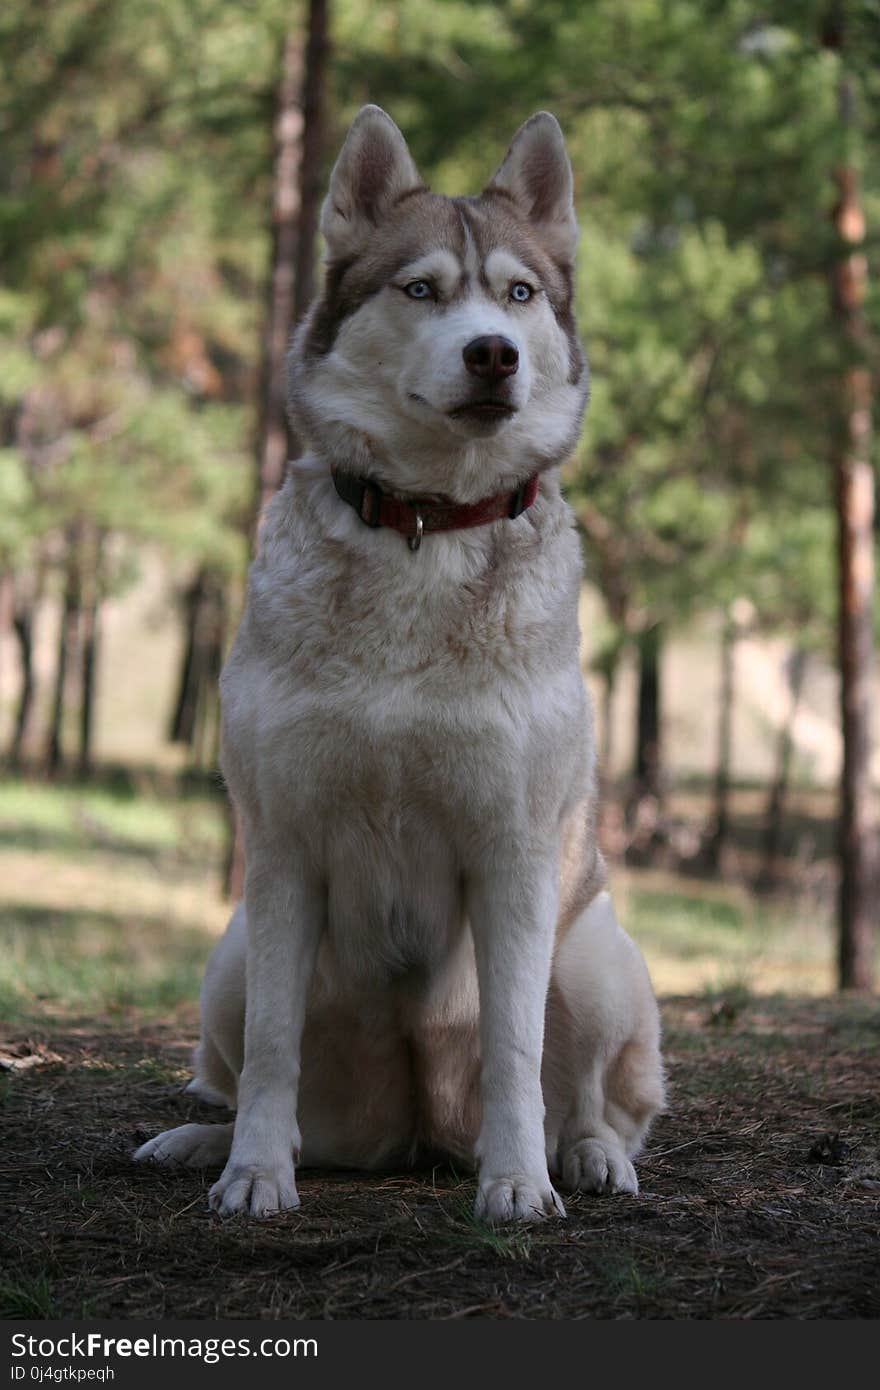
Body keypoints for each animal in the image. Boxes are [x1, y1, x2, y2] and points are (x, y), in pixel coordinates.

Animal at [134, 108, 661, 1223]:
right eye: (421, 289)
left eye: (518, 293)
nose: (493, 353)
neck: (425, 526)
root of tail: (416, 1130)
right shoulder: (282, 846)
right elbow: (273, 1049)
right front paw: (255, 1172)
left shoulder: (513, 853)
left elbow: (517, 1048)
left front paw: (518, 1185)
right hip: (229, 957)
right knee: (255, 1081)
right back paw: (206, 1142)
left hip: (598, 957)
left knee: (598, 1097)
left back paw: (587, 1157)